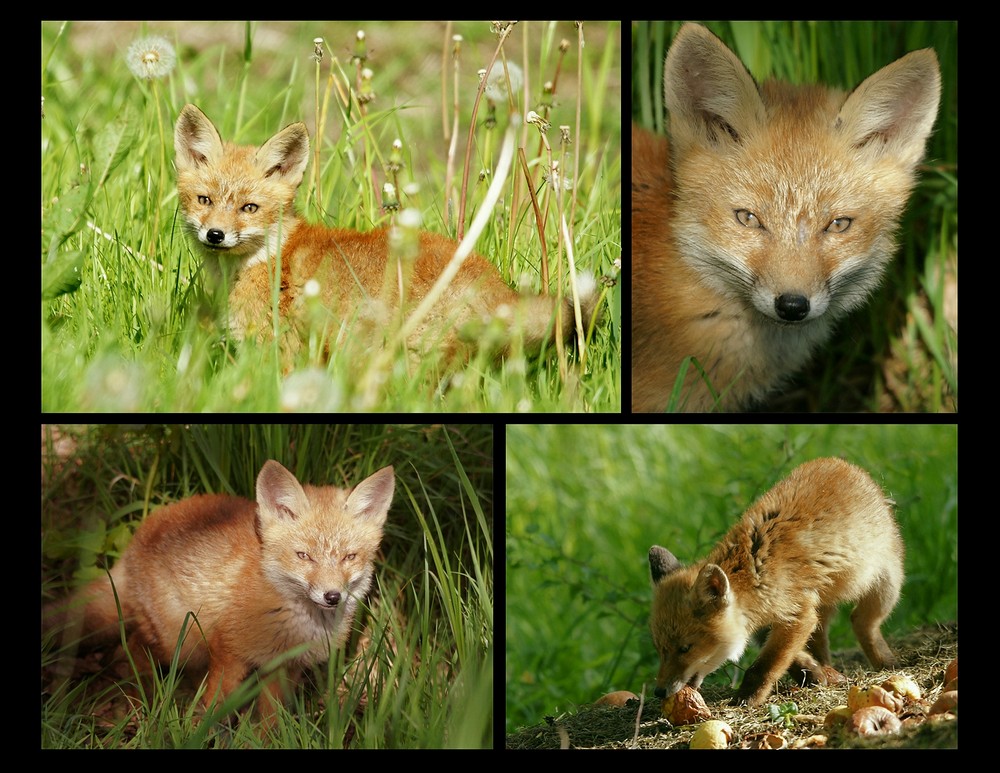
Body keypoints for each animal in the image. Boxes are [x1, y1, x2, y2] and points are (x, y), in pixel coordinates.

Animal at [47, 462, 396, 720]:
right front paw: (199, 734)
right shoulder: (227, 650)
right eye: (303, 556)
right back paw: (144, 695)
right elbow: (212, 708)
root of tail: (138, 536)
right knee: (127, 650)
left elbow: (270, 722)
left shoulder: (284, 668)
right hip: (179, 643)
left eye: (349, 557)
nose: (332, 596)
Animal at [174, 105, 592, 368]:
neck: (271, 258)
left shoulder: (282, 351)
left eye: (249, 208)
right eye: (205, 200)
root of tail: (499, 293)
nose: (215, 234)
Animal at [648, 458, 908, 704]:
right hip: (824, 600)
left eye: (685, 648)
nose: (659, 692)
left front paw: (748, 698)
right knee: (821, 636)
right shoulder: (767, 622)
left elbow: (763, 666)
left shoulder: (797, 613)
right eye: (659, 648)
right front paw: (812, 673)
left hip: (886, 584)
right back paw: (826, 666)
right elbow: (791, 655)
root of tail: (843, 464)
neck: (754, 577)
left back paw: (886, 662)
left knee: (862, 621)